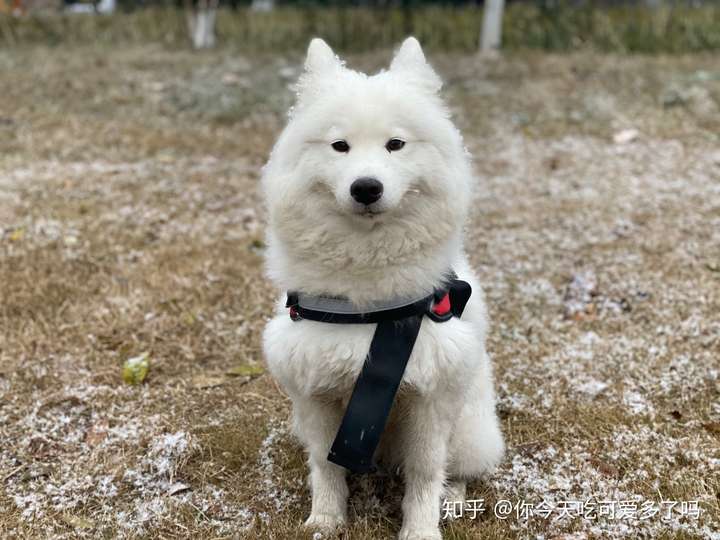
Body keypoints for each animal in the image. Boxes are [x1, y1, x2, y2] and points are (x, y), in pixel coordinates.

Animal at [262, 35, 504, 536]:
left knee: (458, 469)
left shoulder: (432, 396)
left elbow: (426, 471)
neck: (366, 303)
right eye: (340, 146)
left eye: (396, 144)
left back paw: (454, 498)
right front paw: (325, 520)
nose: (366, 188)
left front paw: (421, 529)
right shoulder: (315, 395)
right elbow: (326, 465)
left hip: (470, 428)